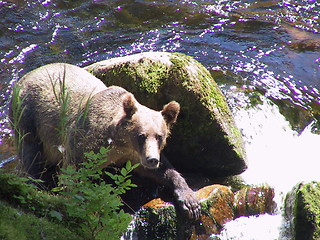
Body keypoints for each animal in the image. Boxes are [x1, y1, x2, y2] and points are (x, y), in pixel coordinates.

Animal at [10, 62, 200, 219]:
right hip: (28, 115)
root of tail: (27, 75)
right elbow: (74, 175)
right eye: (141, 135)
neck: (118, 143)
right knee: (30, 154)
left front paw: (189, 201)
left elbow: (165, 171)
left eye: (160, 136)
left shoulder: (133, 155)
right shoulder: (83, 142)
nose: (152, 159)